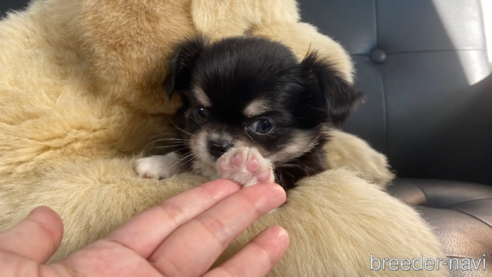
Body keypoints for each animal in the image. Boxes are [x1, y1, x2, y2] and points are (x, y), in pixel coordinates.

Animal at [136, 36, 364, 190]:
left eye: (263, 125)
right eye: (200, 112)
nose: (217, 146)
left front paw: (246, 170)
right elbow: (190, 155)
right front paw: (159, 162)